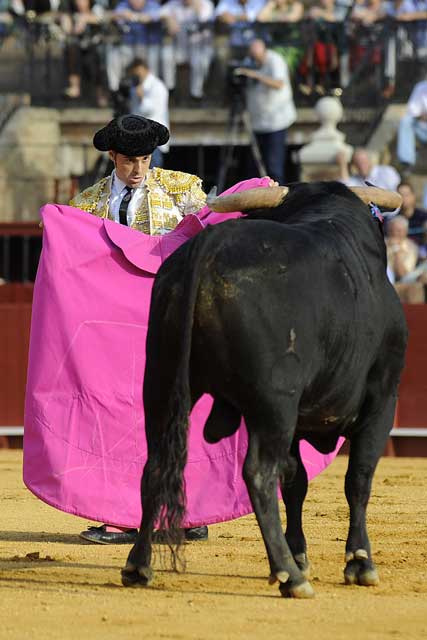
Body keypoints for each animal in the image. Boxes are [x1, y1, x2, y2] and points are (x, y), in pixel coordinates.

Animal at [121, 182, 408, 596]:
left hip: (161, 380)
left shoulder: (300, 420)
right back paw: (290, 577)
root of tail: (208, 247)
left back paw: (138, 566)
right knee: (258, 473)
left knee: (156, 464)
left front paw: (301, 553)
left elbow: (296, 482)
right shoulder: (382, 400)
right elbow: (358, 478)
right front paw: (359, 561)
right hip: (275, 405)